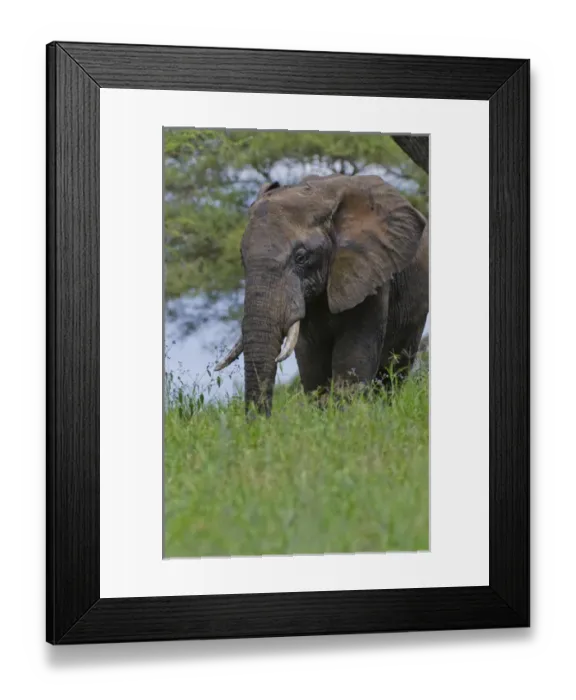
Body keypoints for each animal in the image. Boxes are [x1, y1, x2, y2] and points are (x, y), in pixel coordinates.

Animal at [214, 172, 429, 417]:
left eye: (301, 257)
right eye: (242, 258)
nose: (259, 423)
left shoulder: (370, 274)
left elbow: (353, 359)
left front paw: (346, 418)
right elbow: (311, 363)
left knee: (394, 371)